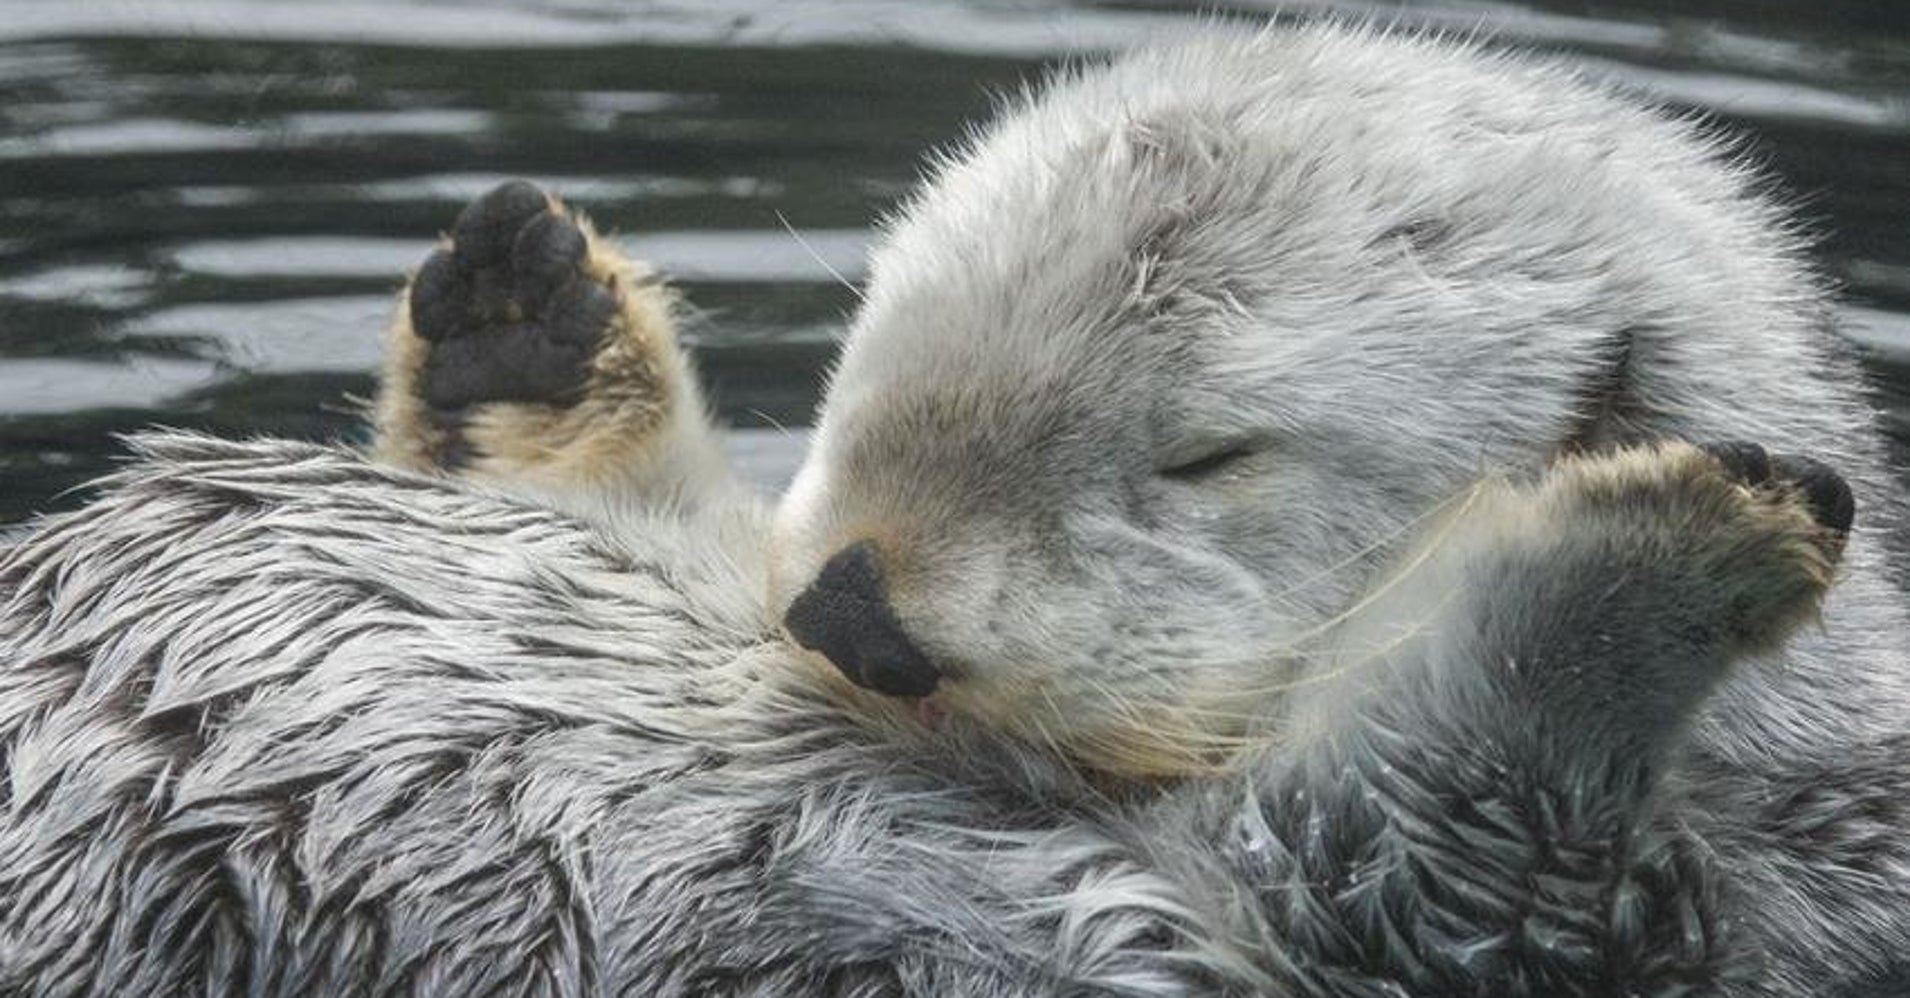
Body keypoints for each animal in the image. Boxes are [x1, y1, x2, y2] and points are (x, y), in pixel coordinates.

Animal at [1, 21, 1906, 996]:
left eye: (1209, 459)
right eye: (870, 346)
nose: (856, 612)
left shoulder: (1597, 913)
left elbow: (1443, 823)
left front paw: (1681, 524)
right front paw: (525, 338)